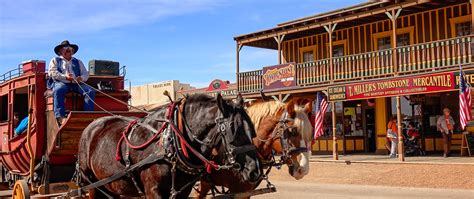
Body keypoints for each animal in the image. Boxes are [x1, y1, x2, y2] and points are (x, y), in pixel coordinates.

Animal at [78, 94, 262, 198]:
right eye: (234, 132)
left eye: (252, 131)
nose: (256, 171)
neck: (170, 142)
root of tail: (91, 125)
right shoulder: (153, 190)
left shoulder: (182, 191)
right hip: (91, 183)